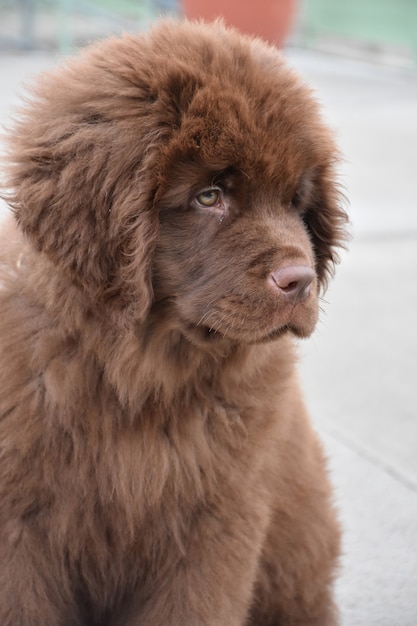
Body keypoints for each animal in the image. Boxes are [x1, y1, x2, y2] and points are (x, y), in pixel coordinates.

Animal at [0, 19, 346, 624]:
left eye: (294, 200)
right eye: (209, 196)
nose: (300, 281)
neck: (139, 377)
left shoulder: (217, 524)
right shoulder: (20, 526)